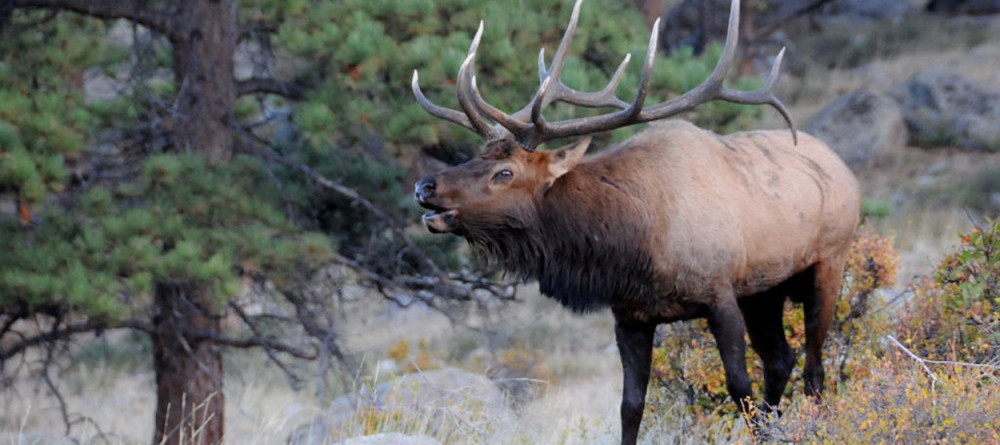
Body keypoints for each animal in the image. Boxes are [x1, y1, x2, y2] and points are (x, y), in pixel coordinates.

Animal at [412, 0, 860, 440]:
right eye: (477, 156)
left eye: (504, 173)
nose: (424, 185)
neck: (636, 243)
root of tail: (844, 170)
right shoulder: (630, 315)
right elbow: (630, 406)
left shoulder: (719, 294)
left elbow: (739, 388)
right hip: (764, 290)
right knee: (781, 359)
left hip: (828, 263)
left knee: (814, 369)